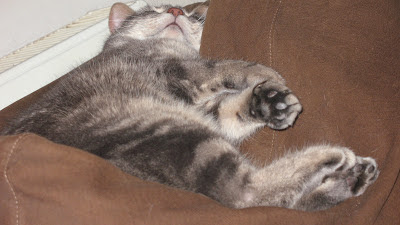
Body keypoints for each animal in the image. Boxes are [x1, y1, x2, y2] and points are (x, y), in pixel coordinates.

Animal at [1, 1, 378, 211]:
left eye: (192, 15)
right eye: (150, 10)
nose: (175, 9)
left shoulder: (205, 109)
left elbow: (231, 109)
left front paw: (269, 102)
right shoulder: (182, 72)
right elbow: (228, 66)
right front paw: (266, 75)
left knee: (282, 201)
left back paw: (352, 176)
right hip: (170, 132)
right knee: (245, 195)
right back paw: (331, 159)